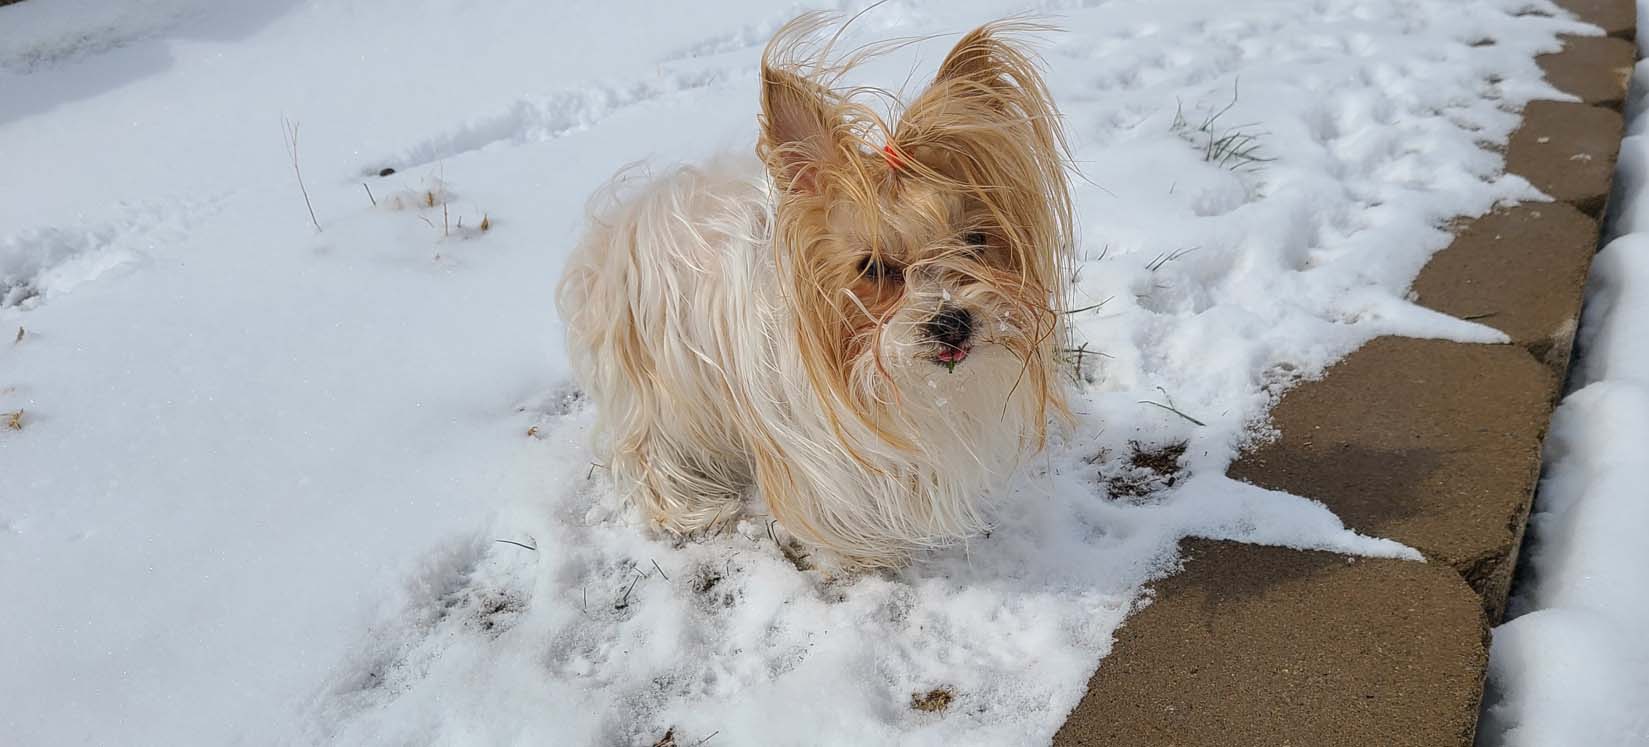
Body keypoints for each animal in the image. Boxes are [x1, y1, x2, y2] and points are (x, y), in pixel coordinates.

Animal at [560, 15, 1075, 563]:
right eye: (873, 267)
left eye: (975, 241)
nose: (952, 321)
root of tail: (634, 213)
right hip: (656, 384)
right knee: (647, 450)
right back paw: (689, 511)